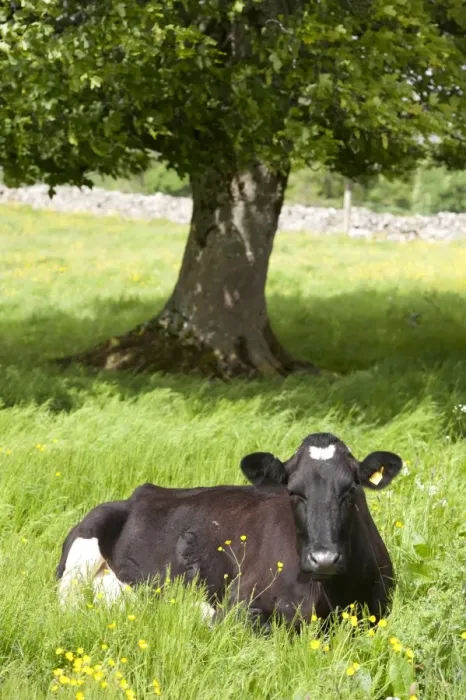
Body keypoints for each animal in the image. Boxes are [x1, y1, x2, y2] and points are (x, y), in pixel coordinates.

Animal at [56, 432, 402, 627]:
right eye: (293, 491)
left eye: (351, 489)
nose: (324, 558)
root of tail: (138, 494)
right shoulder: (235, 605)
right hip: (77, 565)